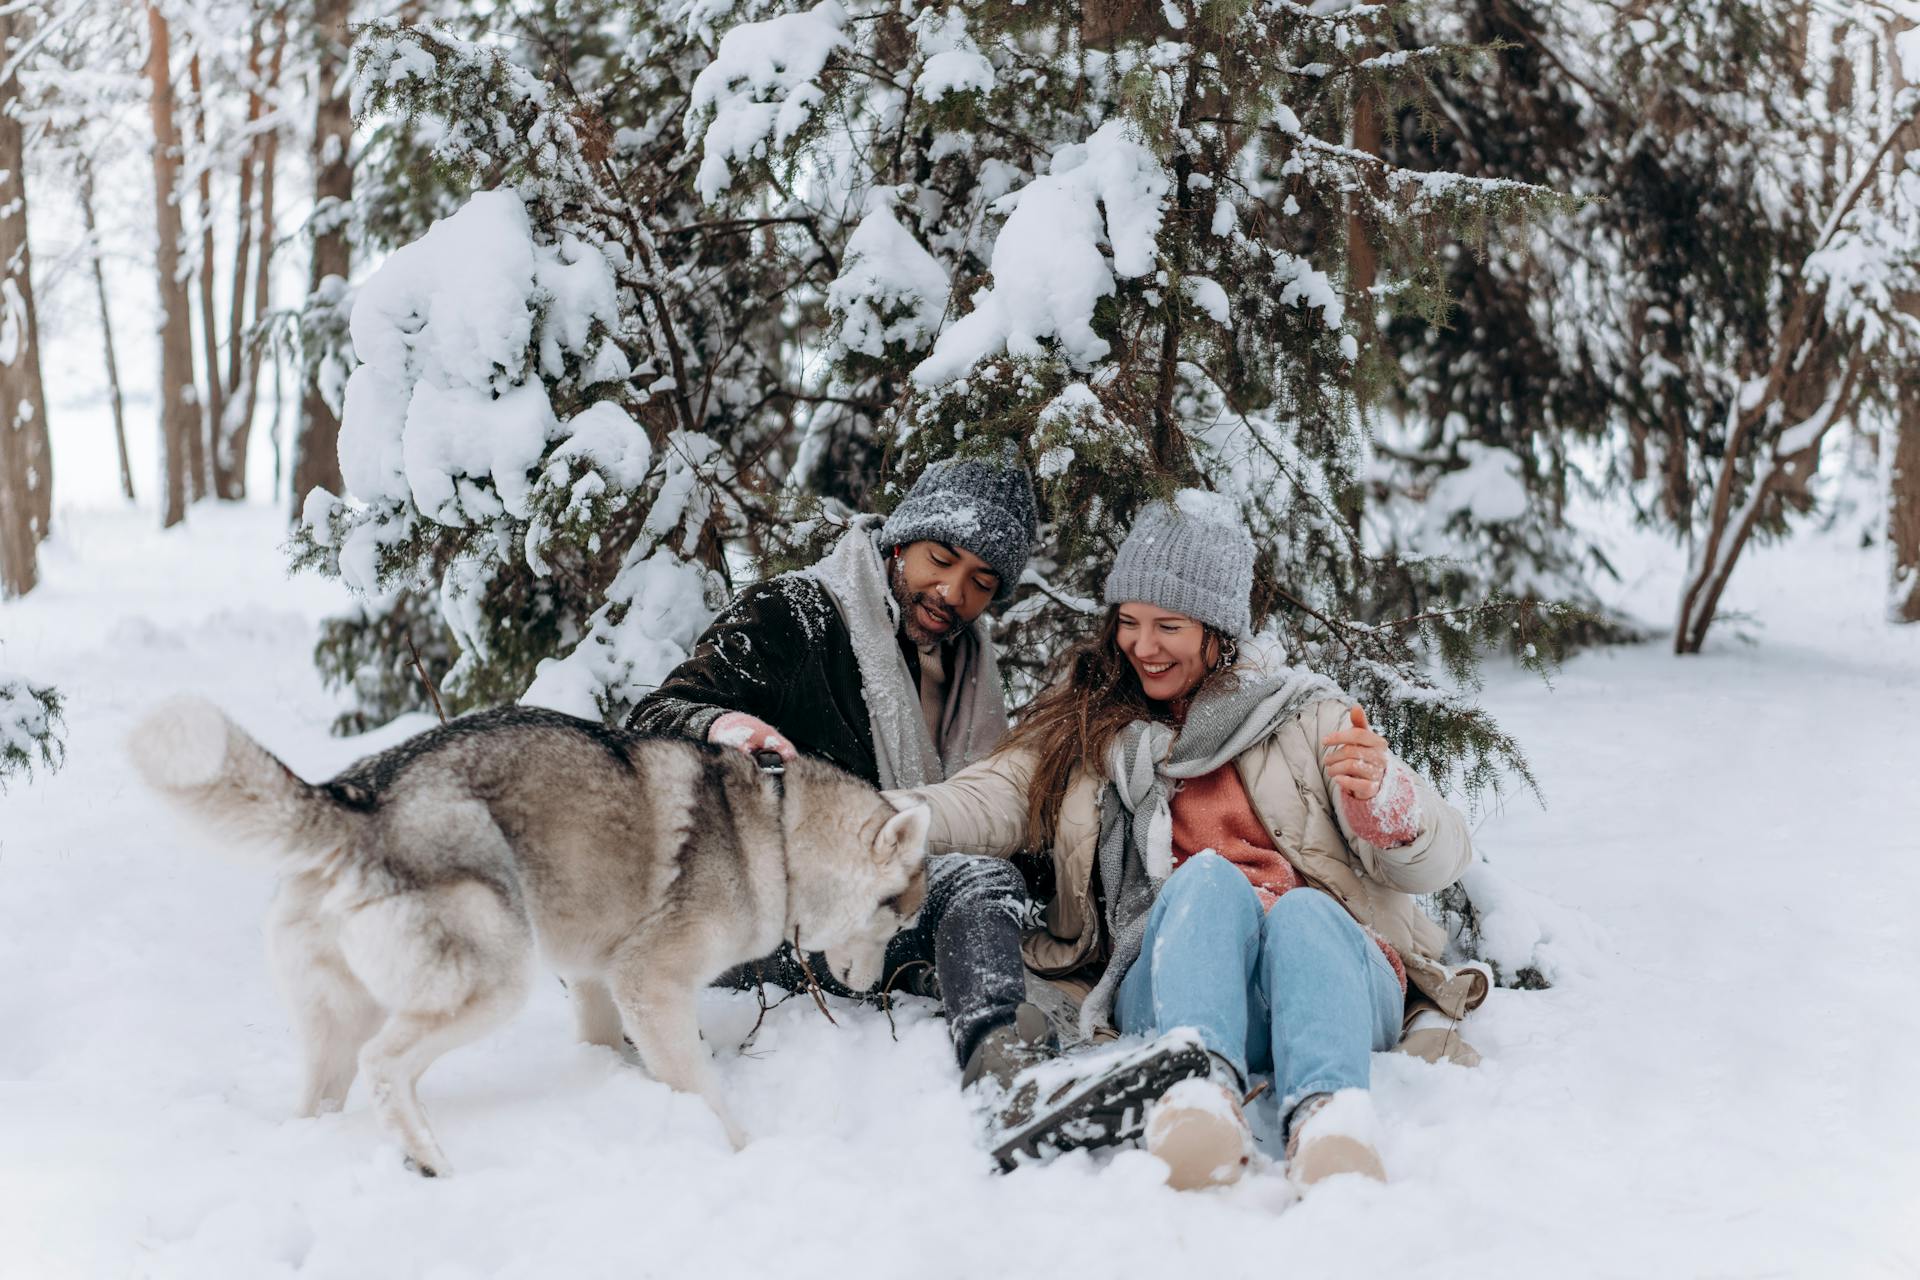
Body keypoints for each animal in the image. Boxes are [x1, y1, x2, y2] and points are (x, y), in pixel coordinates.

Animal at [129, 702, 929, 1174]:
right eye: (898, 921)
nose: (872, 988)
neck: (778, 833)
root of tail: (359, 797)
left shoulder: (599, 982)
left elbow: (606, 1045)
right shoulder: (650, 984)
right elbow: (702, 1090)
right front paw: (741, 1153)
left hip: (343, 1018)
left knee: (332, 1090)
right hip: (495, 983)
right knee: (384, 1065)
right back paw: (429, 1161)